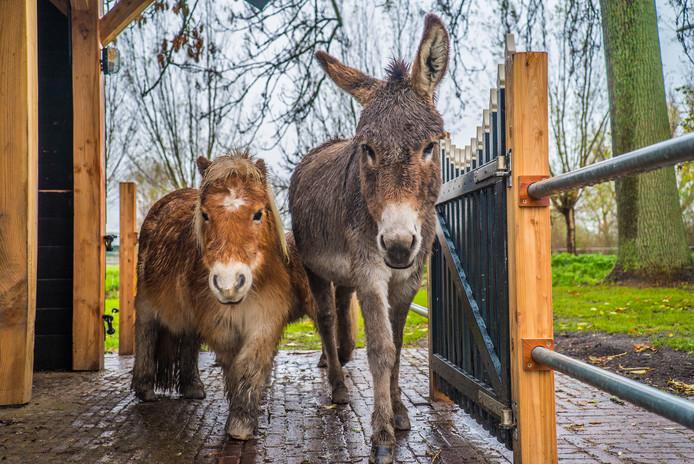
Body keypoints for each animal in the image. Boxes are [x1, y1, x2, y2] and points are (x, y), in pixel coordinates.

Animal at [132, 151, 316, 438]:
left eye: (258, 213)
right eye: (205, 214)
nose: (229, 284)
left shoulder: (264, 322)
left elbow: (250, 364)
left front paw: (242, 422)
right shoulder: (220, 325)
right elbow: (233, 365)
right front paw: (240, 418)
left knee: (189, 341)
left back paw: (192, 387)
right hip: (146, 304)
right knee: (146, 335)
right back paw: (145, 389)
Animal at [288, 14, 452, 464]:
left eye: (430, 146)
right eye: (368, 150)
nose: (396, 245)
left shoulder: (408, 280)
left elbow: (396, 345)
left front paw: (398, 411)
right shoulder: (371, 275)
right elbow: (381, 350)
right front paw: (381, 434)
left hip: (347, 274)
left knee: (341, 315)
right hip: (313, 266)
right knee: (327, 318)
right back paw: (338, 386)